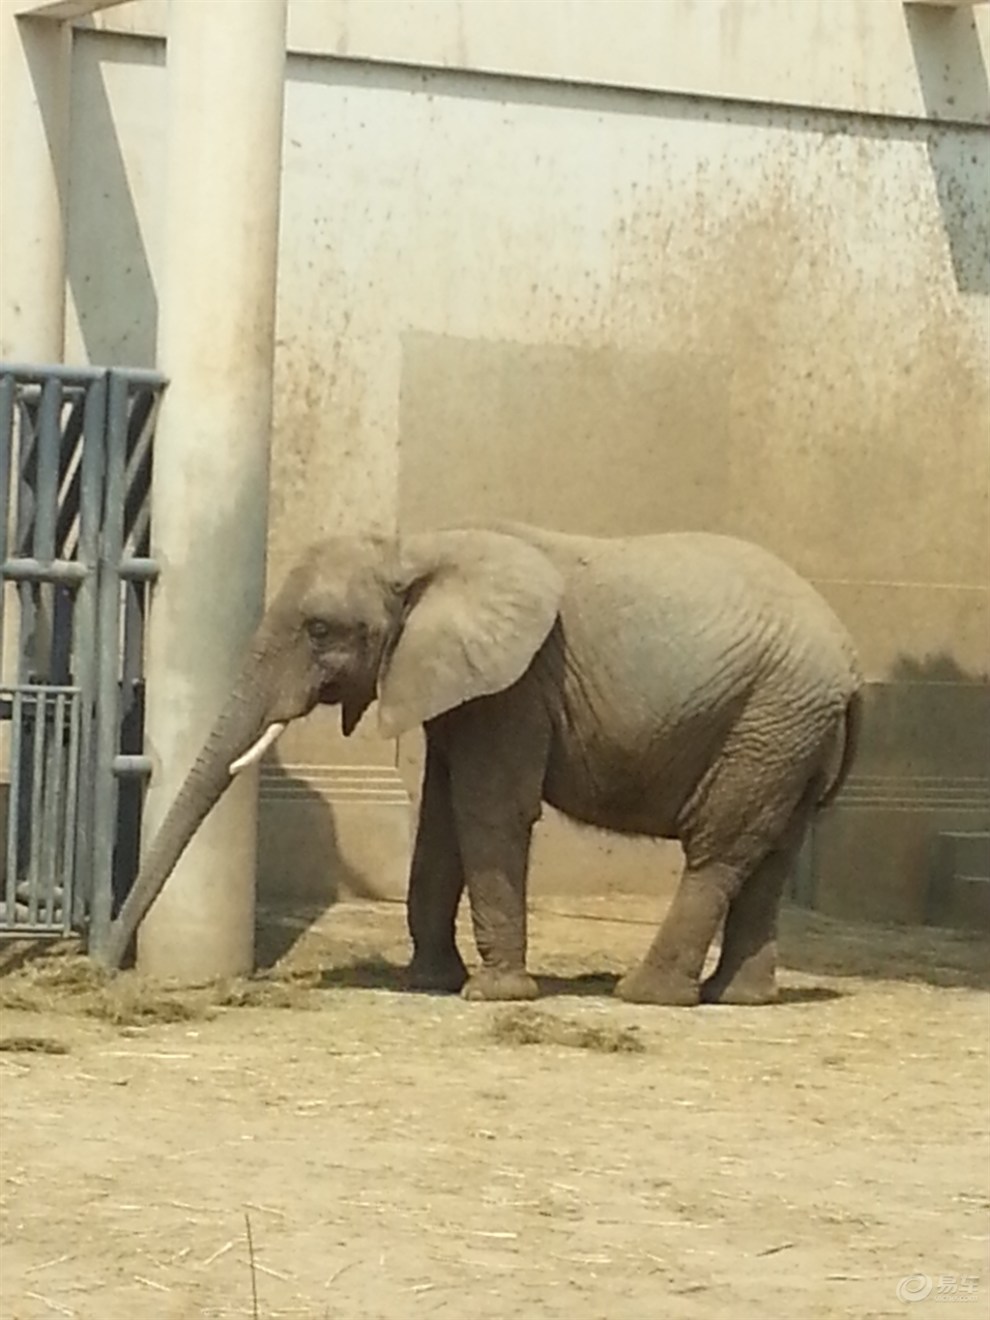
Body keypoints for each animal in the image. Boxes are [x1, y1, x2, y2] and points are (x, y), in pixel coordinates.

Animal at [102, 520, 860, 1003]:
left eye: (319, 630)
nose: (102, 964)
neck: (417, 548)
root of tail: (851, 664)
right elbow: (440, 818)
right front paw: (431, 982)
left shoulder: (518, 684)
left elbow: (488, 811)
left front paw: (493, 995)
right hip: (787, 729)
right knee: (767, 857)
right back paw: (737, 998)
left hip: (771, 717)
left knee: (718, 854)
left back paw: (646, 996)